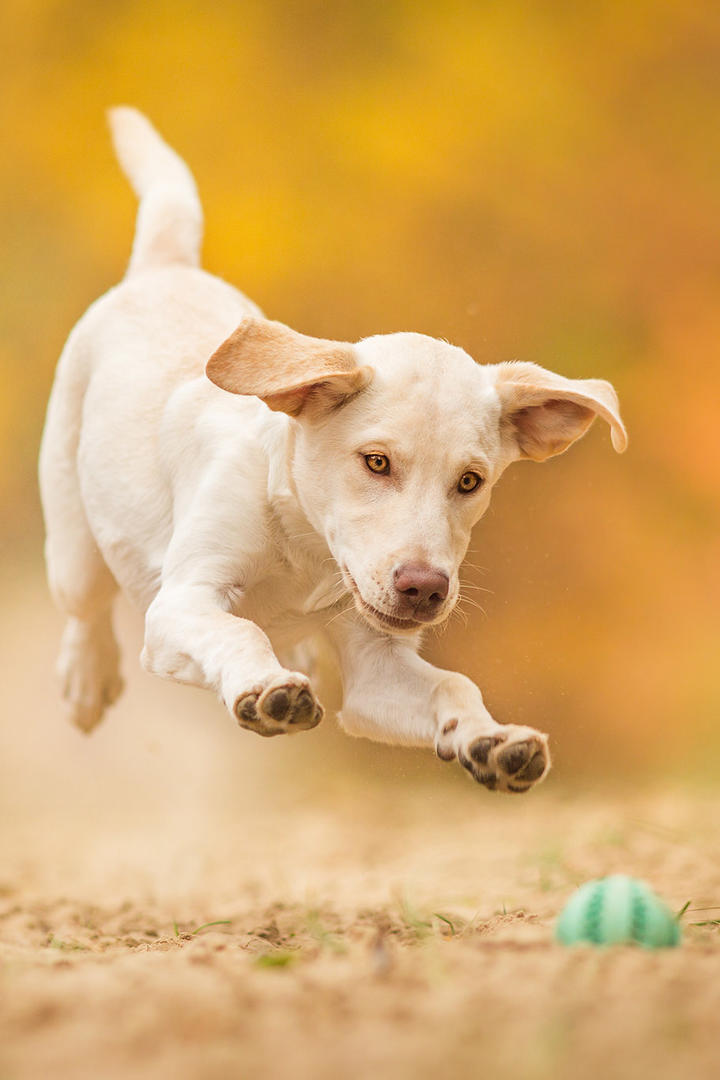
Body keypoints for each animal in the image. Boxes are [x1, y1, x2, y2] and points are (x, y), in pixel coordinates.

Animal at [38, 109, 626, 794]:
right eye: (376, 462)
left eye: (470, 481)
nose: (424, 589)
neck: (307, 554)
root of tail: (164, 268)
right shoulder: (182, 602)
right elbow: (237, 629)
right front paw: (265, 688)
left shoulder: (373, 666)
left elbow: (452, 685)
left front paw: (491, 741)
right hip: (74, 546)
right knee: (85, 608)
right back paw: (87, 680)